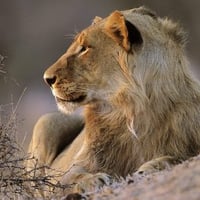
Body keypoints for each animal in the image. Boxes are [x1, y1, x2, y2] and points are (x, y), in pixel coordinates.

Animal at [27, 7, 200, 195]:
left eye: (84, 49)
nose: (47, 79)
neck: (131, 110)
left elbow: (177, 157)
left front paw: (150, 166)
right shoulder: (73, 167)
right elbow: (69, 177)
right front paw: (94, 180)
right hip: (47, 121)